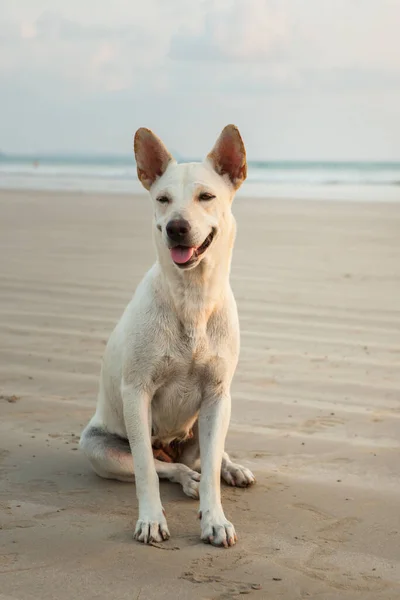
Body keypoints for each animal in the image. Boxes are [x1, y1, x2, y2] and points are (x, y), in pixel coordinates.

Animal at [79, 124, 255, 548]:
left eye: (206, 196)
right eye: (162, 199)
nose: (176, 227)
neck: (192, 298)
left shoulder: (217, 396)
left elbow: (211, 472)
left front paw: (214, 519)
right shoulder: (137, 393)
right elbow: (145, 470)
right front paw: (151, 520)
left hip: (208, 422)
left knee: (207, 457)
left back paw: (229, 468)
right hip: (98, 447)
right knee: (164, 467)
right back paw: (185, 478)